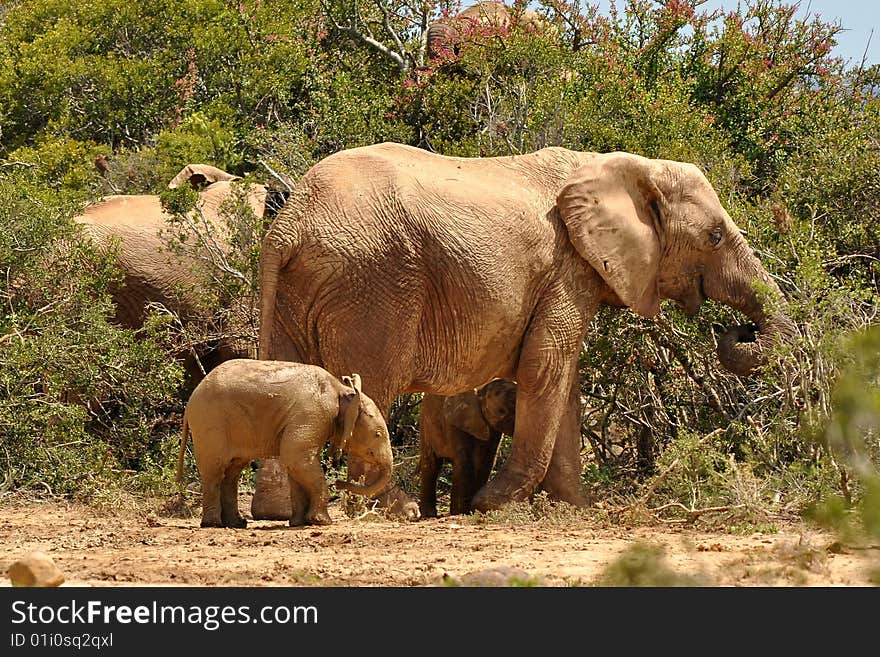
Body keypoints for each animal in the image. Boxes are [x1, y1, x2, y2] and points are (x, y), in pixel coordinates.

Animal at [177, 358, 394, 528]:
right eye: (377, 434)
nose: (339, 483)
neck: (341, 390)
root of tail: (190, 402)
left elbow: (296, 464)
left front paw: (299, 523)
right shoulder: (312, 414)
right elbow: (297, 458)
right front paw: (322, 522)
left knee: (232, 471)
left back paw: (237, 524)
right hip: (210, 424)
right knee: (215, 470)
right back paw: (213, 524)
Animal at [418, 380, 516, 516]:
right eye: (502, 411)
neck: (481, 389)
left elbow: (486, 460)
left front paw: (472, 509)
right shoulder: (455, 421)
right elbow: (464, 459)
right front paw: (460, 512)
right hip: (426, 424)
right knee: (431, 465)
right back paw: (429, 514)